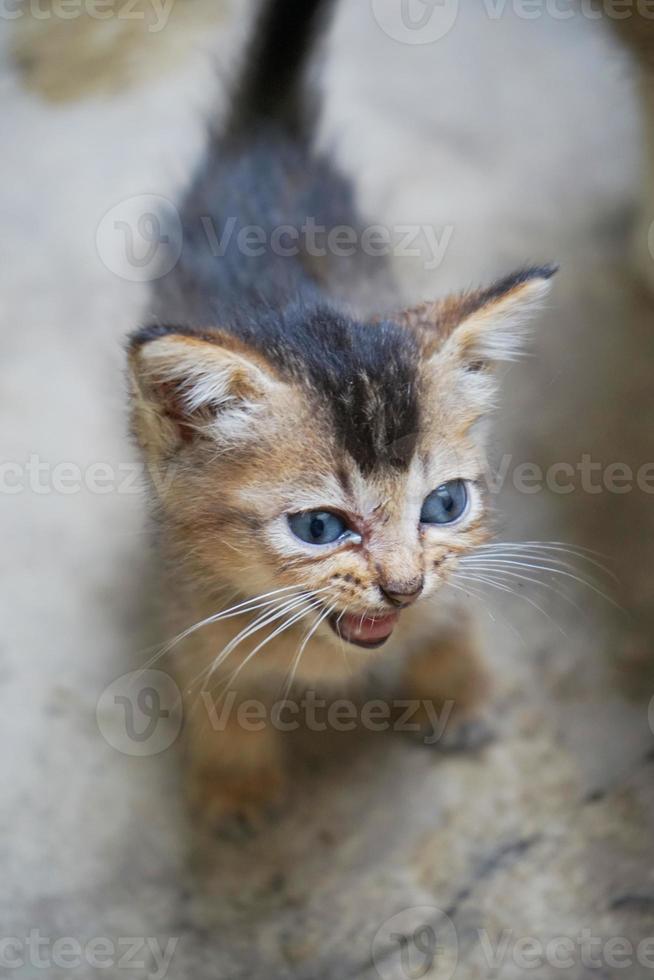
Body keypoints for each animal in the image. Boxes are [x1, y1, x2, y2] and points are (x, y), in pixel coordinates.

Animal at [129, 0, 560, 836]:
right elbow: (215, 685)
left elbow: (454, 612)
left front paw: (457, 690)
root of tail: (264, 136)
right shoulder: (186, 598)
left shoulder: (453, 571)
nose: (403, 588)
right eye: (320, 527)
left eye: (445, 505)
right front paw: (234, 782)